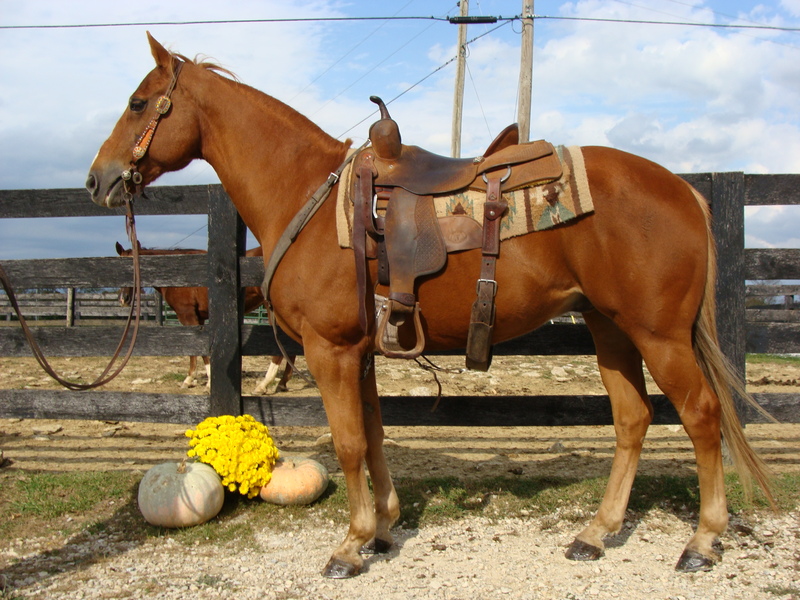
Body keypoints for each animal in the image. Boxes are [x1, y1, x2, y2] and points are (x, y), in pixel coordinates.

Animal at [115, 242, 293, 392]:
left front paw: (199, 381)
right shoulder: (198, 318)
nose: (124, 299)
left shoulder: (188, 317)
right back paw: (282, 383)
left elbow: (197, 350)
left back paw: (264, 384)